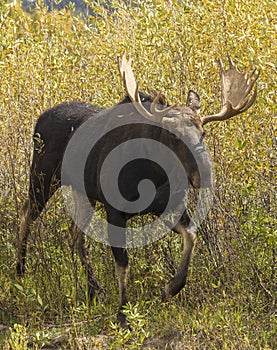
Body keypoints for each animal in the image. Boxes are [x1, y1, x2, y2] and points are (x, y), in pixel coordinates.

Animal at [16, 54, 258, 326]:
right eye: (173, 136)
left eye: (203, 132)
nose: (203, 173)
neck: (151, 174)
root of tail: (40, 118)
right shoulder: (114, 211)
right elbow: (122, 263)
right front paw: (123, 314)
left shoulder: (168, 206)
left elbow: (191, 234)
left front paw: (171, 288)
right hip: (42, 177)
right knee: (27, 213)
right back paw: (21, 268)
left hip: (82, 192)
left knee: (75, 235)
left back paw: (94, 288)